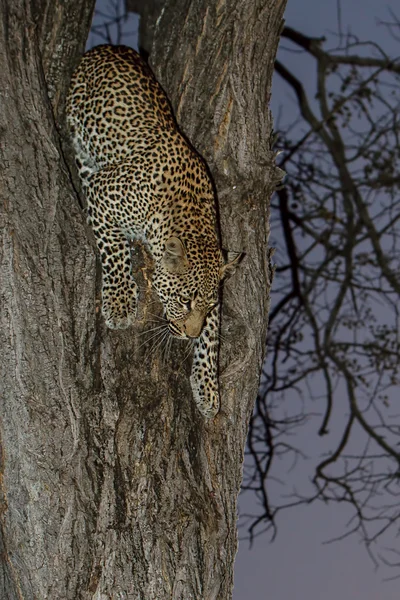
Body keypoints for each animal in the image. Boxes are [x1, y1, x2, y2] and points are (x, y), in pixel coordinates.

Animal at [66, 45, 241, 418]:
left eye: (207, 305)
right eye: (183, 301)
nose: (188, 335)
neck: (187, 212)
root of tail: (109, 47)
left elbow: (214, 336)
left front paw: (207, 387)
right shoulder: (104, 195)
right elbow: (113, 250)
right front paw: (119, 302)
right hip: (80, 136)